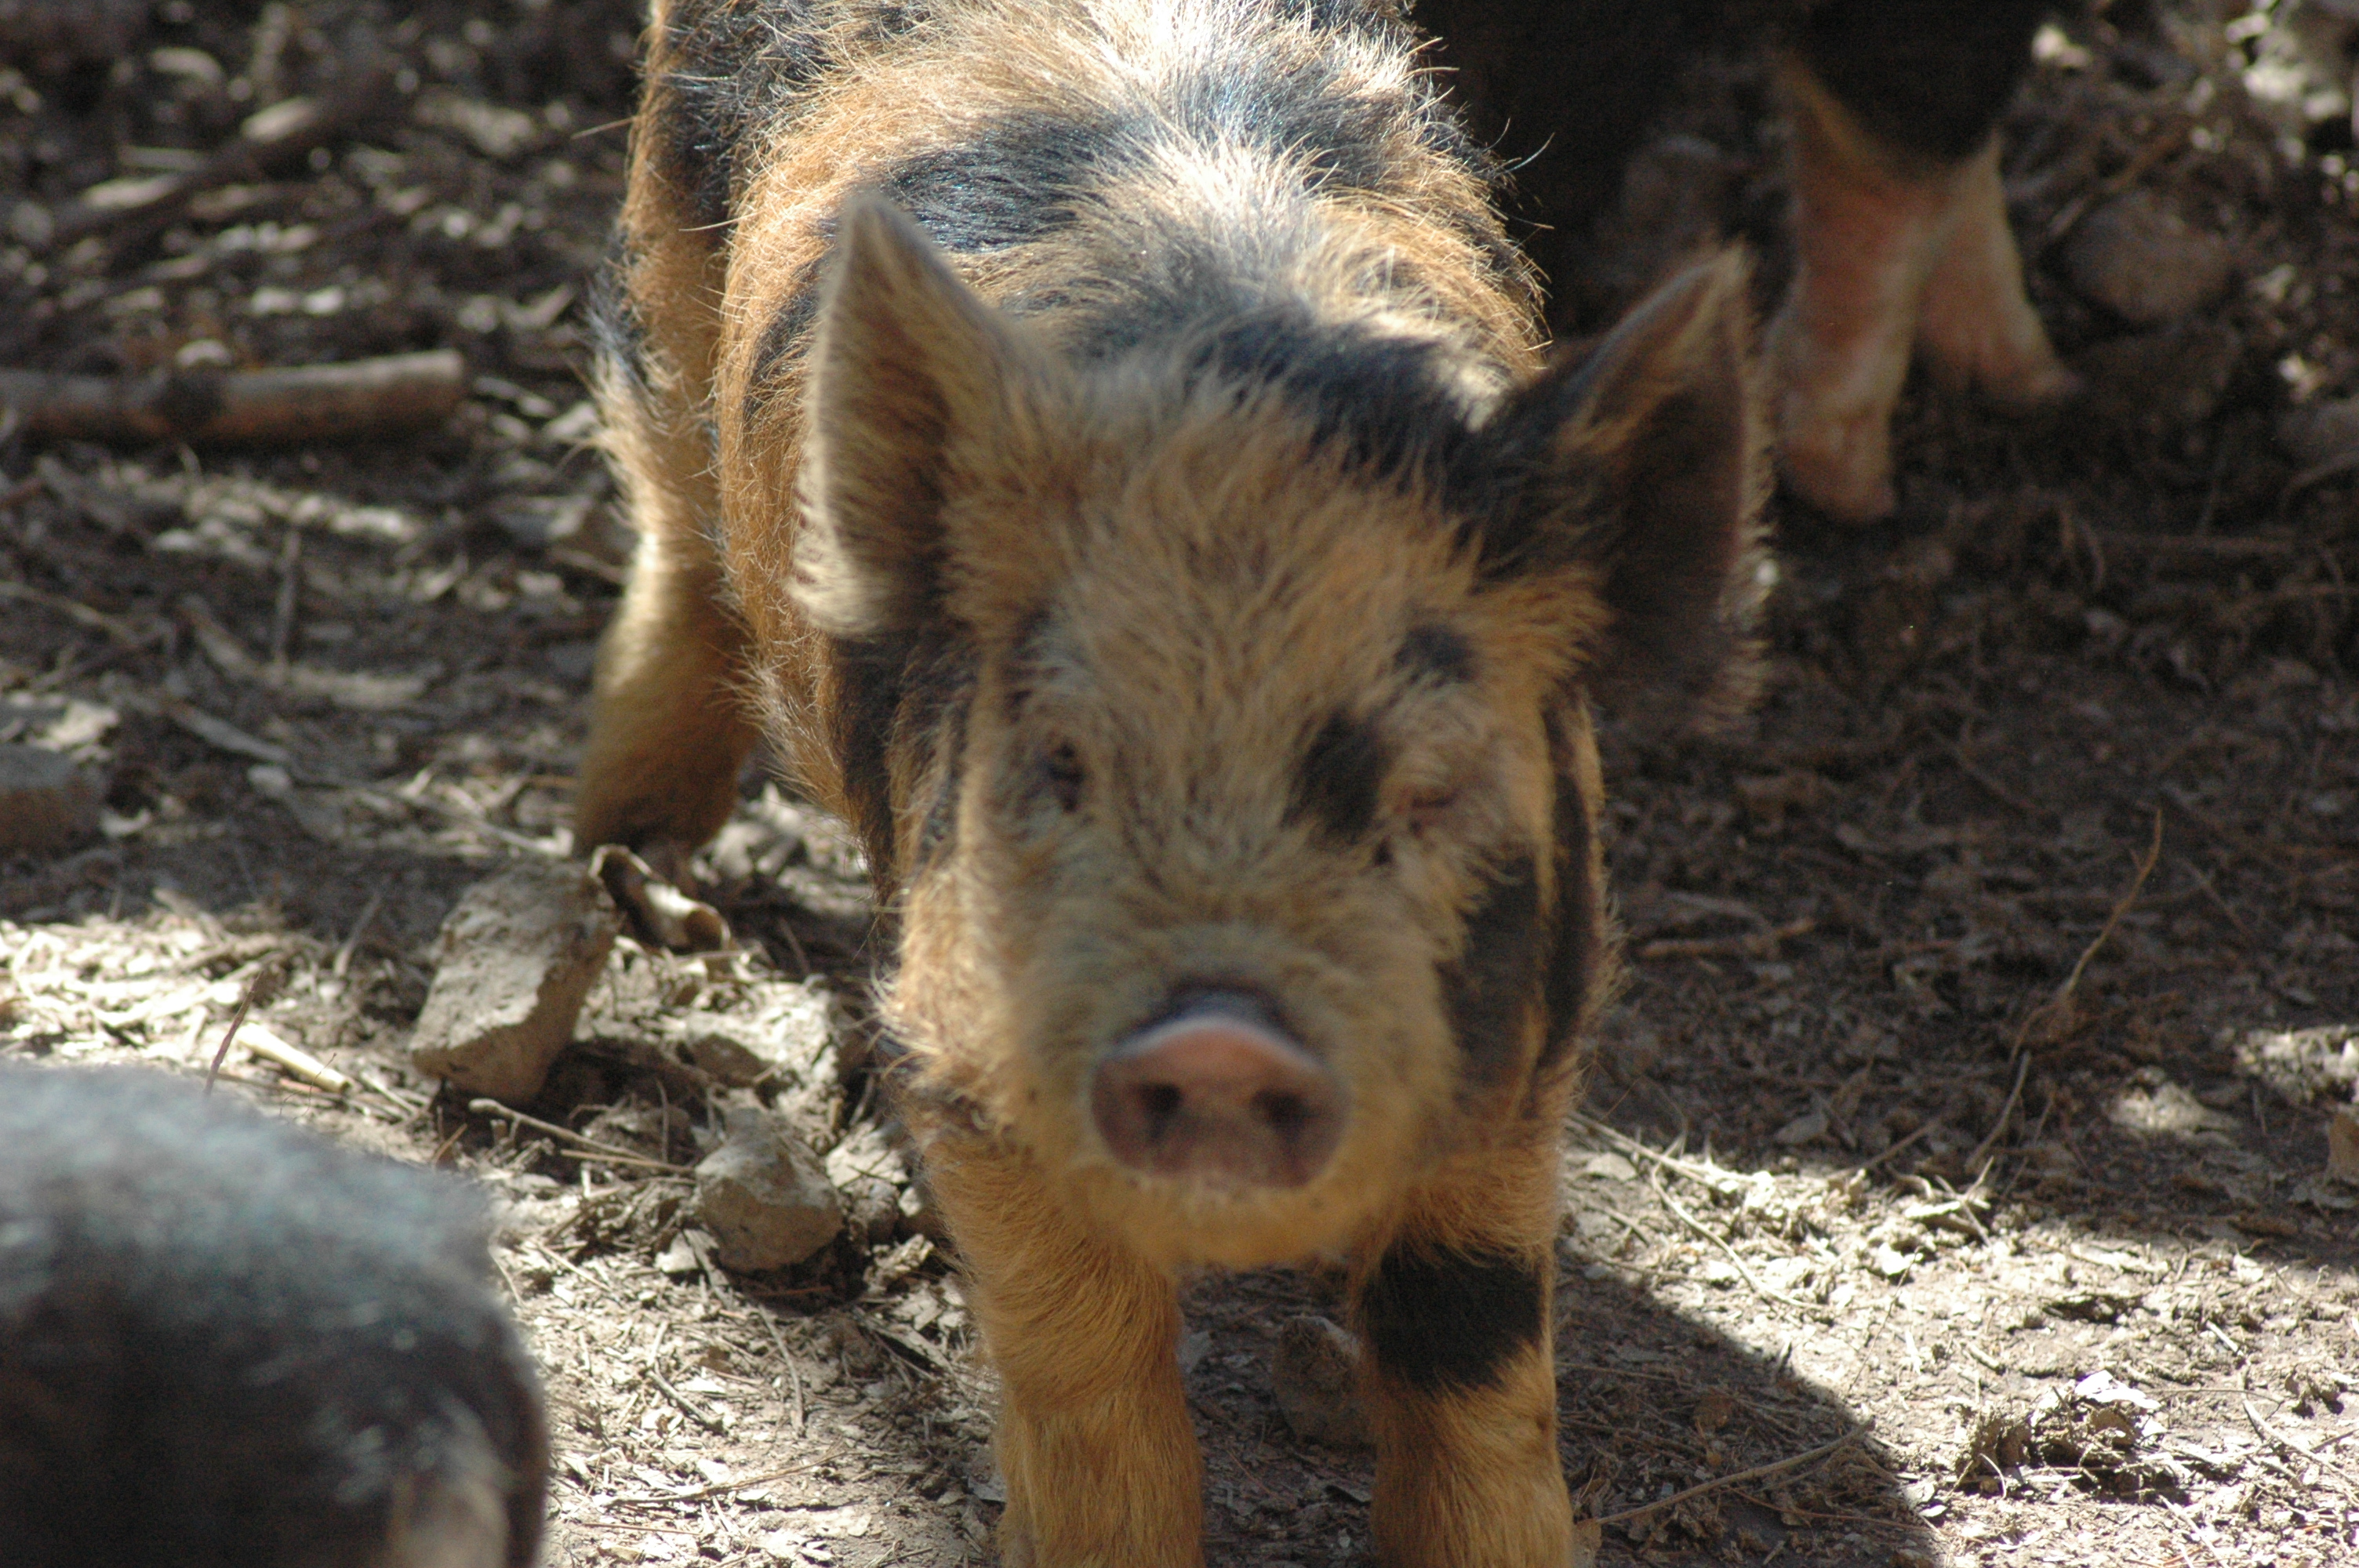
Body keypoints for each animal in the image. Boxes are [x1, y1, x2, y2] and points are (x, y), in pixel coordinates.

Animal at [573, 2, 1769, 1563]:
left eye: (1426, 792)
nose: (1219, 1037)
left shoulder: (1530, 1026)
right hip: (666, 232)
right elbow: (1087, 1369)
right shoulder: (963, 1034)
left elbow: (1470, 1341)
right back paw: (619, 842)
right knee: (671, 498)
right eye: (1065, 762)